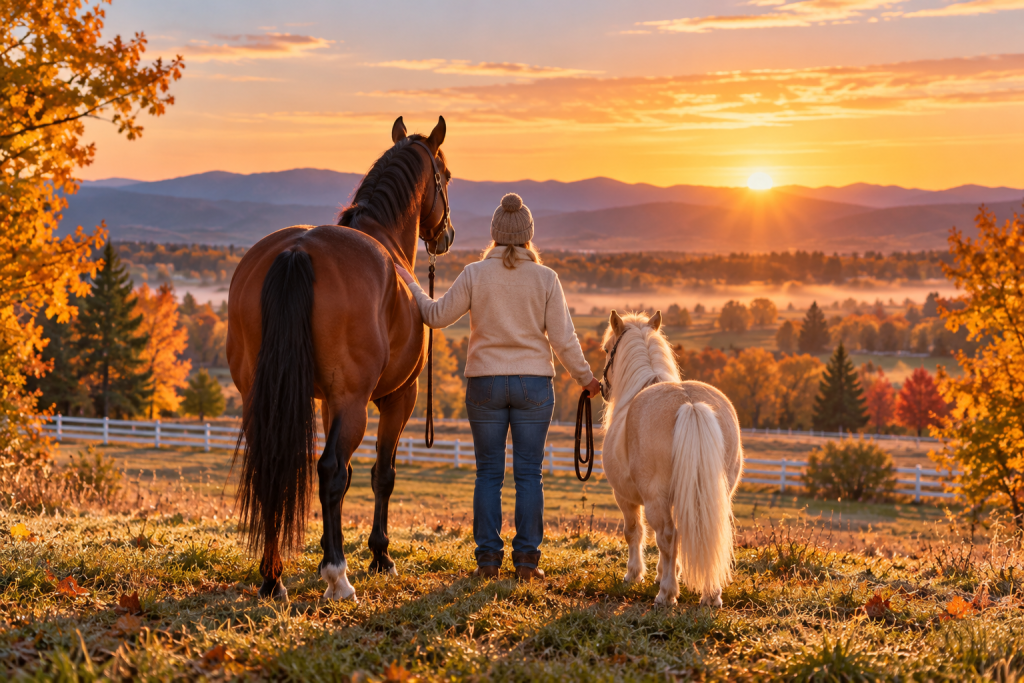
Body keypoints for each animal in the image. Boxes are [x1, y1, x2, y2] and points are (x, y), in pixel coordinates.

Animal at [226, 115, 455, 602]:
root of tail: (298, 250)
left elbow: (348, 476)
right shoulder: (396, 399)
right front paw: (379, 556)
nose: (446, 235)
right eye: (446, 176)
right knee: (329, 470)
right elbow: (379, 474)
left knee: (273, 466)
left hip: (260, 396)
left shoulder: (330, 400)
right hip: (357, 403)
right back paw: (338, 577)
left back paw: (273, 578)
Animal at [599, 310, 744, 606]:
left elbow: (634, 532)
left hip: (655, 498)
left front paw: (635, 575)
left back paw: (666, 594)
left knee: (666, 536)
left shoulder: (625, 497)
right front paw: (663, 573)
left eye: (607, 350)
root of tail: (689, 403)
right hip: (715, 493)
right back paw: (711, 595)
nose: (601, 388)